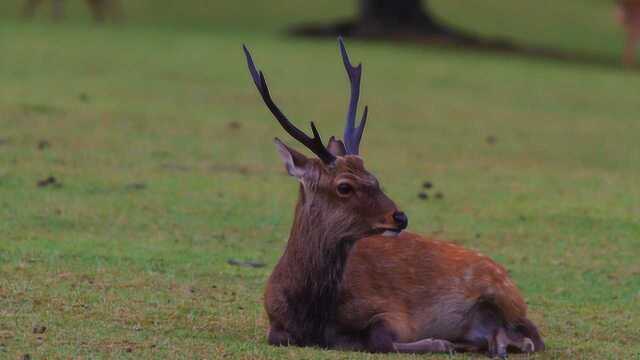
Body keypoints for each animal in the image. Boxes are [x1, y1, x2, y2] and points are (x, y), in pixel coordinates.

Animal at [242, 38, 544, 358]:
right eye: (344, 186)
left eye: (374, 177)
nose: (400, 216)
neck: (312, 314)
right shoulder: (274, 320)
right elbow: (279, 337)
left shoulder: (393, 311)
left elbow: (380, 339)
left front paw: (438, 342)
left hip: (504, 293)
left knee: (530, 336)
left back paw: (493, 346)